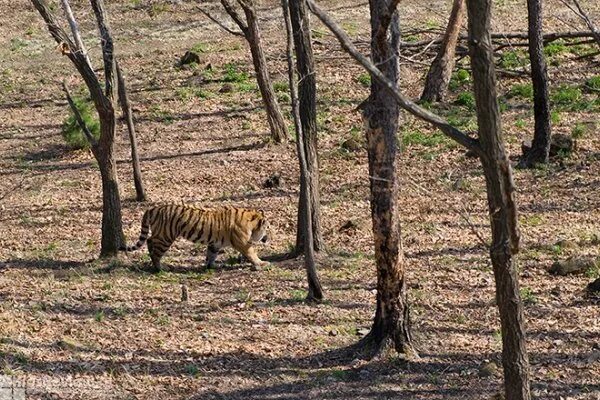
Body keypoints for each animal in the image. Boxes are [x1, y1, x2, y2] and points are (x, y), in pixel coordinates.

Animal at [119, 203, 270, 272]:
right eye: (267, 227)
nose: (267, 238)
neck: (252, 222)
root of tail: (152, 208)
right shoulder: (243, 243)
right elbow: (252, 253)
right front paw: (261, 263)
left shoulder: (214, 244)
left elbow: (211, 255)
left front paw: (210, 266)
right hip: (166, 236)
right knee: (153, 246)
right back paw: (160, 268)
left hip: (162, 234)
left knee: (150, 242)